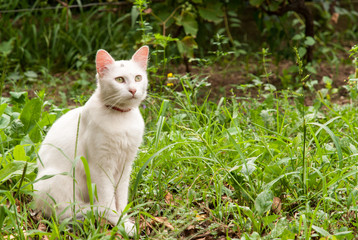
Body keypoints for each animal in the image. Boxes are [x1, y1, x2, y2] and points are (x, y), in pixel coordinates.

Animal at [33, 46, 148, 235]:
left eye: (138, 78)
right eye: (120, 79)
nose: (133, 90)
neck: (121, 119)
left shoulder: (125, 166)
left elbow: (121, 199)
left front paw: (123, 219)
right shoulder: (100, 166)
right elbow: (109, 201)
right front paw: (120, 224)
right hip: (58, 179)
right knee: (66, 212)